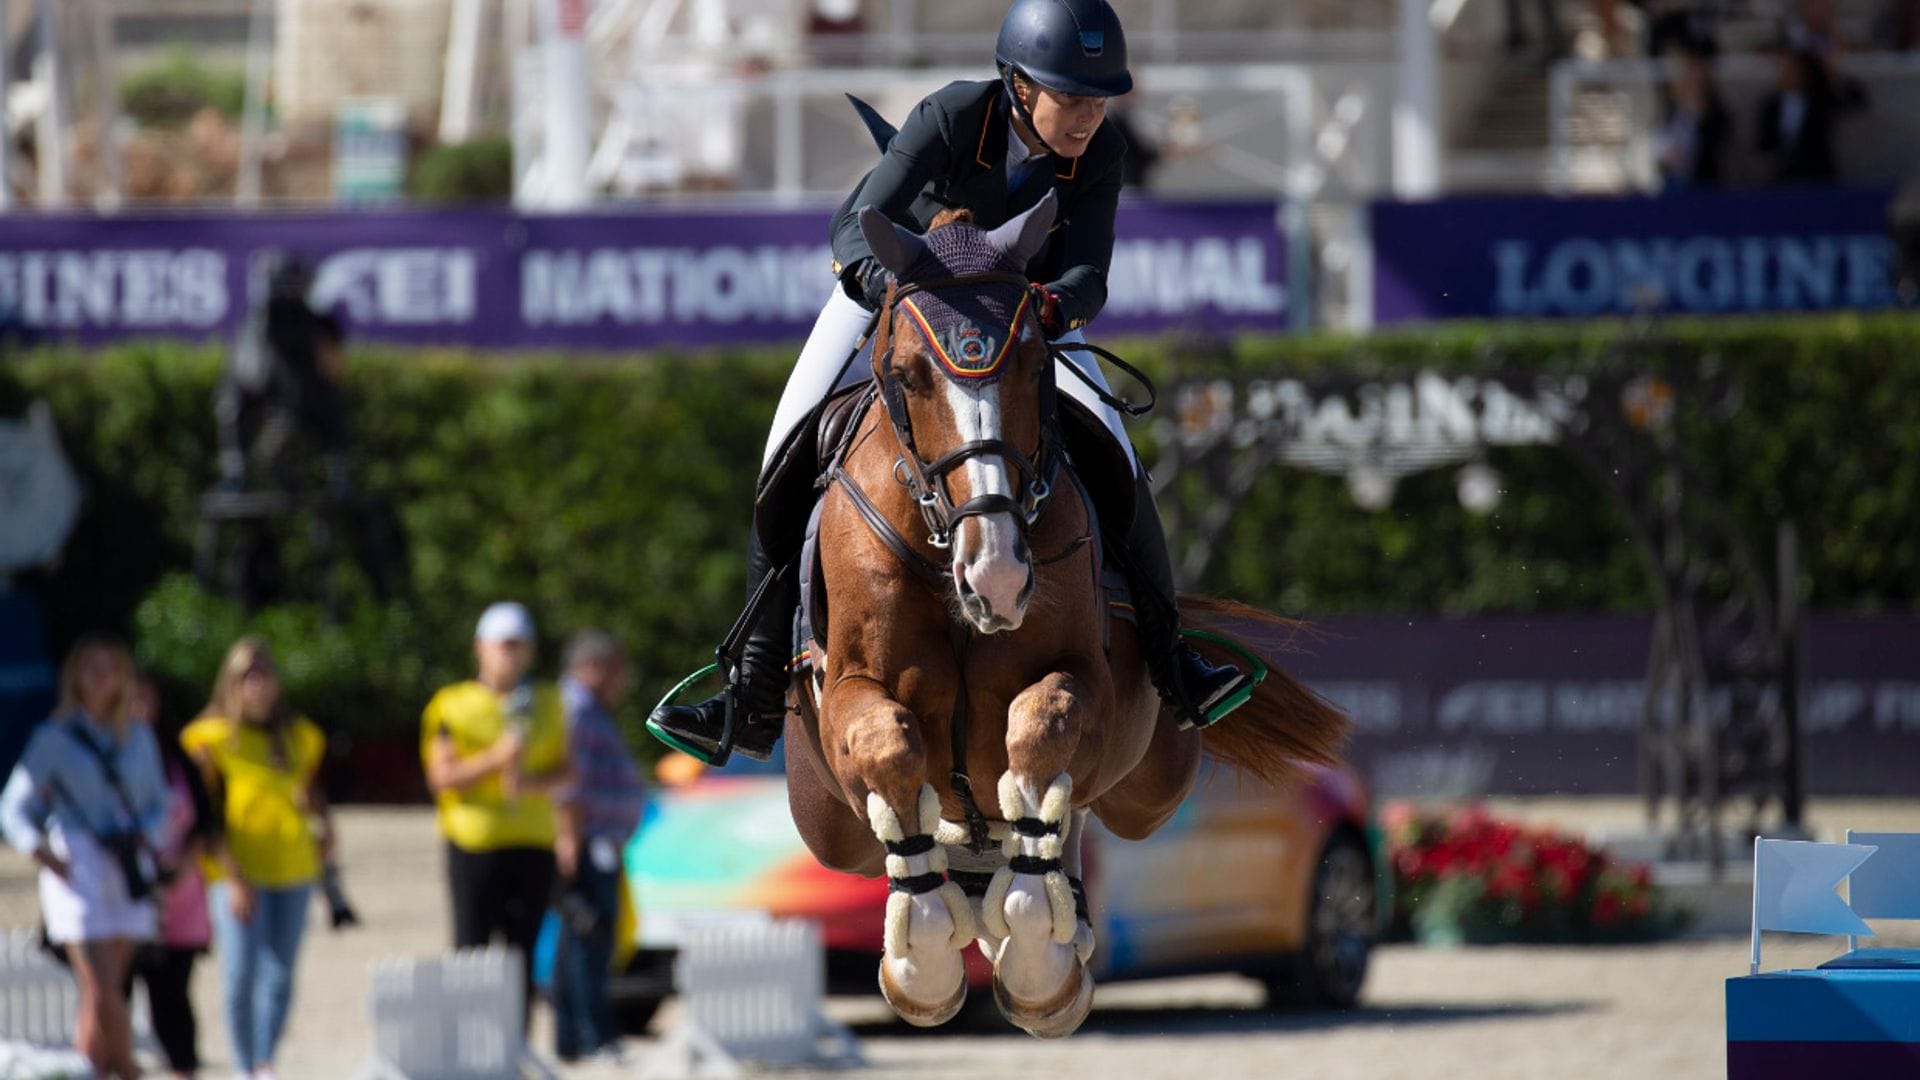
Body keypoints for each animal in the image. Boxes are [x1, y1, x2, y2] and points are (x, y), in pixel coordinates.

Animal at [783, 193, 1351, 1037]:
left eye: (1033, 366)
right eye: (909, 376)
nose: (997, 575)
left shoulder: (1084, 679)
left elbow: (1040, 731)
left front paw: (1034, 957)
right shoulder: (851, 688)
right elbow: (889, 746)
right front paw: (923, 964)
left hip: (1155, 779)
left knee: (1074, 810)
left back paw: (1057, 934)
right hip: (823, 820)